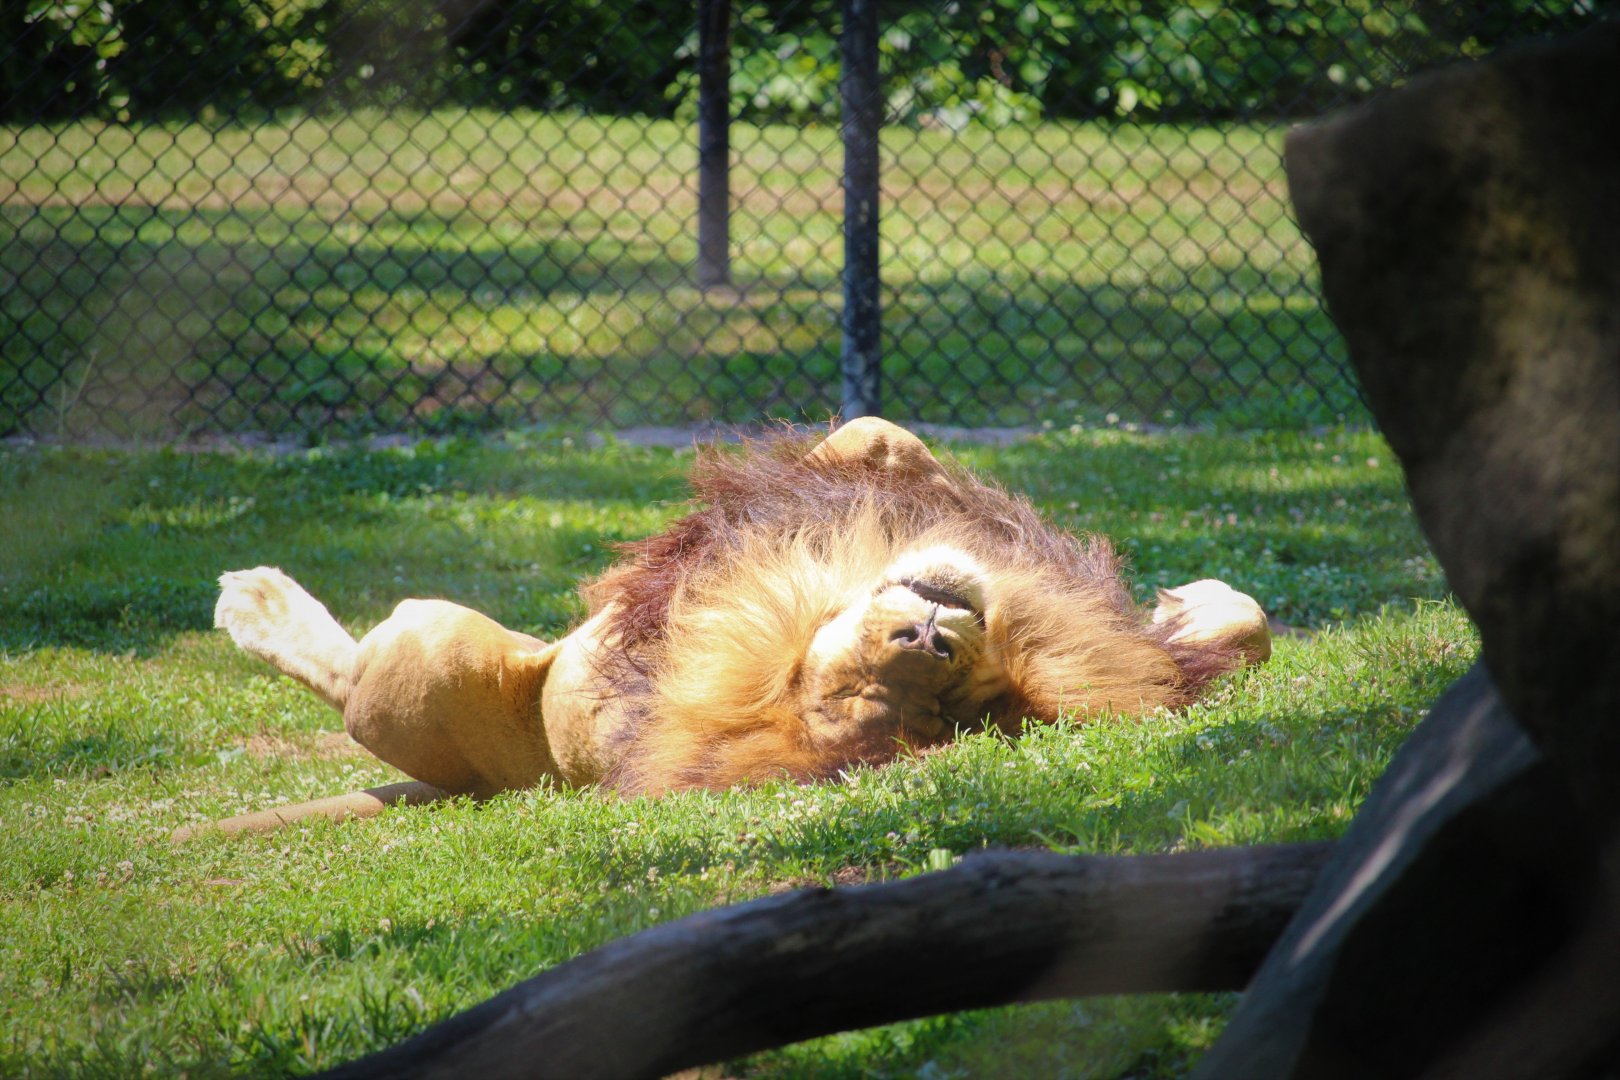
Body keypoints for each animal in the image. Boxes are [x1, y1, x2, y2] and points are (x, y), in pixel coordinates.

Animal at [184, 418, 1269, 839]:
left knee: (358, 674)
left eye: (953, 704)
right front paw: (1190, 600)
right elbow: (877, 441)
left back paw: (253, 597)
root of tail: (507, 778)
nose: (928, 641)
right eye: (851, 689)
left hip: (430, 648)